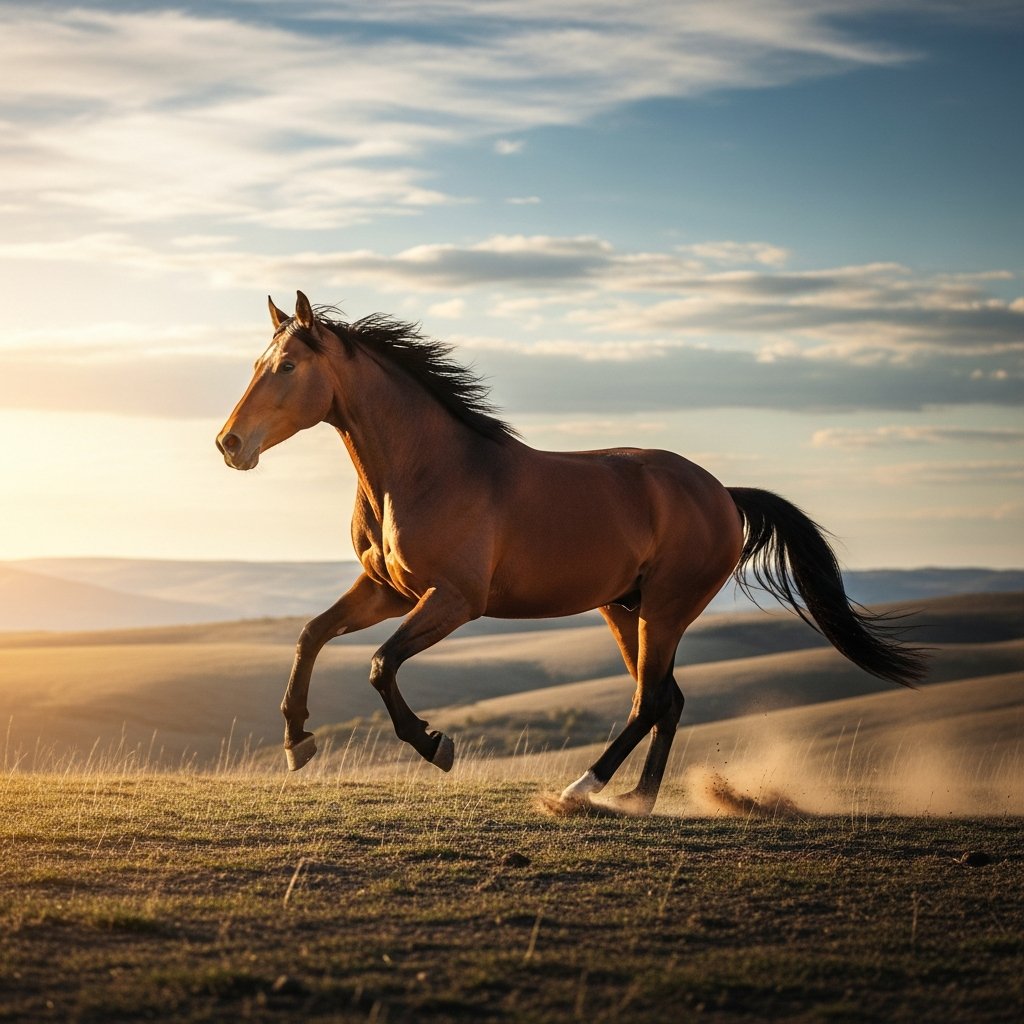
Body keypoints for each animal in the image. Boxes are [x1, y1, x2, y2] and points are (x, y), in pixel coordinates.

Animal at [216, 291, 925, 814]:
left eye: (285, 368)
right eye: (254, 366)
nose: (229, 444)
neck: (425, 471)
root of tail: (722, 492)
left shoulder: (453, 601)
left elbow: (379, 664)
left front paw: (434, 746)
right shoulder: (387, 591)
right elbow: (311, 635)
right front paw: (297, 741)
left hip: (665, 610)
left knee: (648, 702)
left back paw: (581, 789)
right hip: (624, 609)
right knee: (667, 700)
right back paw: (638, 800)